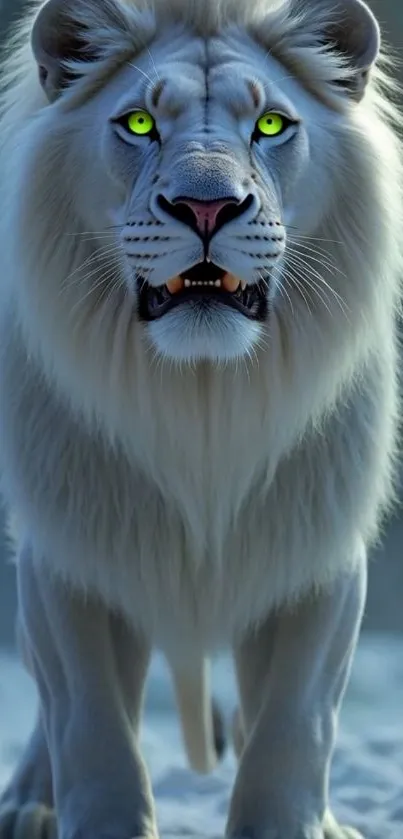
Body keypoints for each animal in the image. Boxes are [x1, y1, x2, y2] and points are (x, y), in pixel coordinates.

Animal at [0, 0, 401, 837]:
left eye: (272, 125)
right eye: (140, 122)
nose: (207, 206)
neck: (203, 401)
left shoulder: (316, 551)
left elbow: (294, 725)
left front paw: (290, 822)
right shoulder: (67, 553)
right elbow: (89, 724)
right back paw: (27, 802)